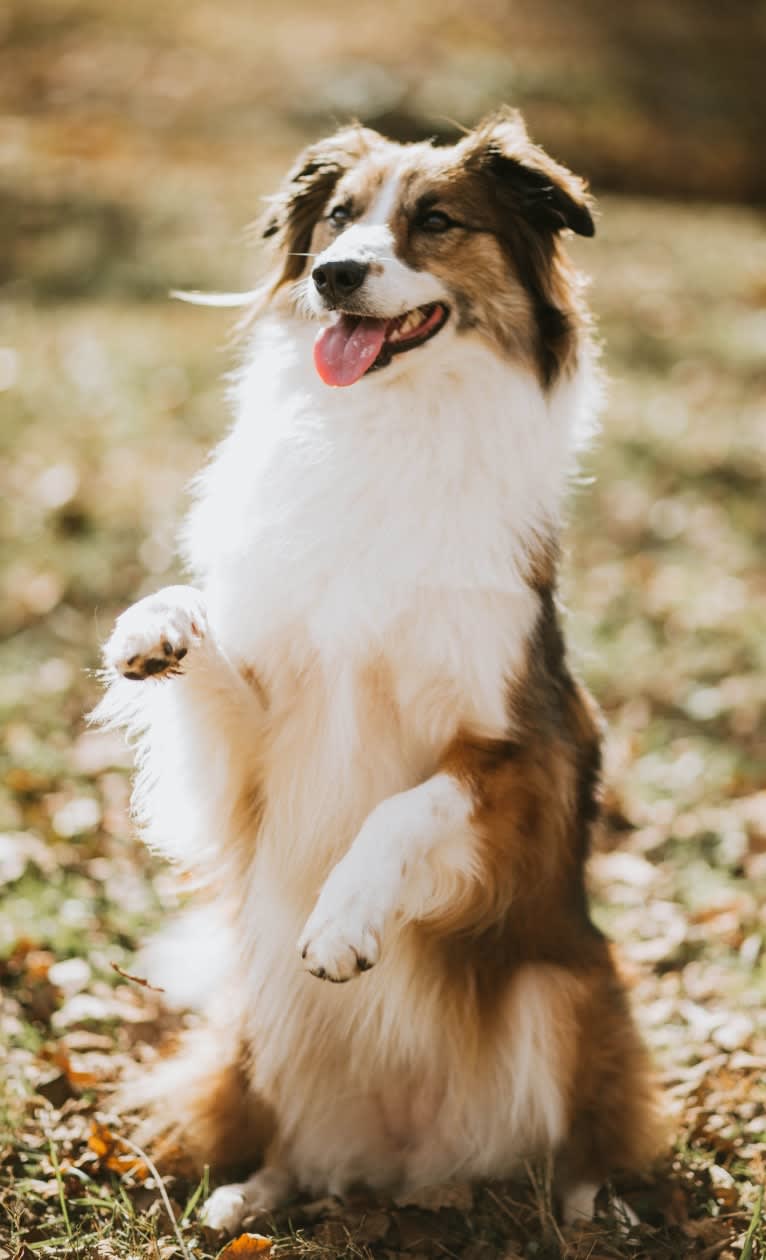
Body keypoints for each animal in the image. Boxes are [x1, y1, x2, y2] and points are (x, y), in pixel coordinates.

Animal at [95, 108, 660, 1229]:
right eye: (338, 218)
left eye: (436, 221)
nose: (336, 276)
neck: (389, 424)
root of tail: (414, 1164)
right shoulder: (261, 754)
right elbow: (203, 643)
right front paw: (157, 620)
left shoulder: (525, 751)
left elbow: (402, 808)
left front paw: (345, 921)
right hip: (256, 1014)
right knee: (287, 1140)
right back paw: (250, 1197)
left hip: (573, 991)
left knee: (579, 1139)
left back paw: (587, 1208)